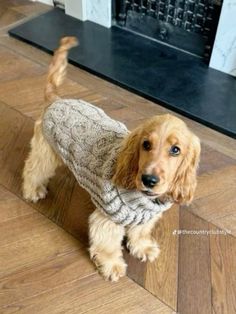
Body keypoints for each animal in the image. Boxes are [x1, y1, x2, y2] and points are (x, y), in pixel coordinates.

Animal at [22, 36, 200, 282]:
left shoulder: (144, 218)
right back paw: (32, 190)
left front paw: (142, 247)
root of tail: (56, 100)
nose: (149, 180)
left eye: (176, 150)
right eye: (146, 144)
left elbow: (140, 232)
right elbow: (106, 244)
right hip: (44, 154)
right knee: (32, 170)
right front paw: (112, 265)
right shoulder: (108, 218)